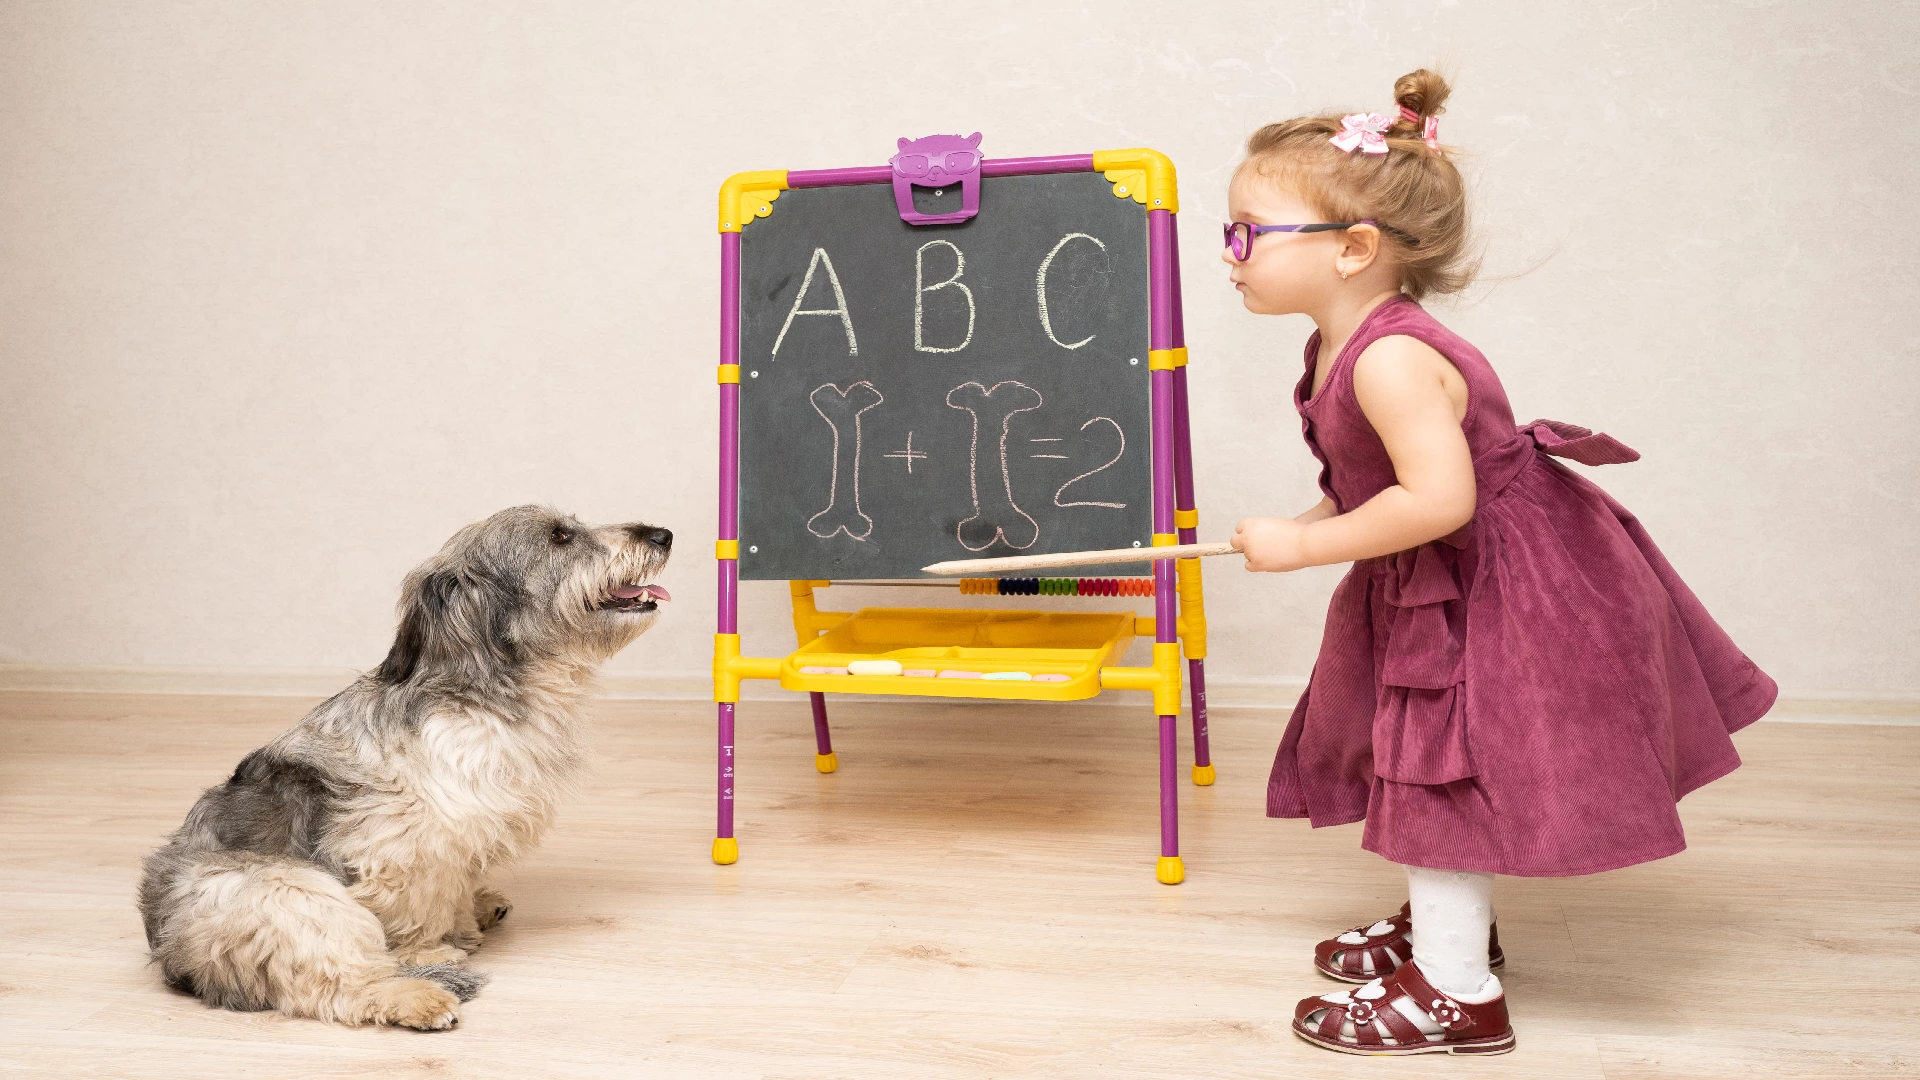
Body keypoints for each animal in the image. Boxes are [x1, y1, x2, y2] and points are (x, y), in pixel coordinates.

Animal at [139, 503, 675, 1022]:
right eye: (560, 536)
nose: (663, 534)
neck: (479, 692)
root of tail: (175, 960)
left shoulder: (463, 831)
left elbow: (456, 882)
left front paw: (465, 917)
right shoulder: (404, 843)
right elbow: (416, 907)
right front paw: (430, 952)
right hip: (291, 895)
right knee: (338, 987)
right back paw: (415, 997)